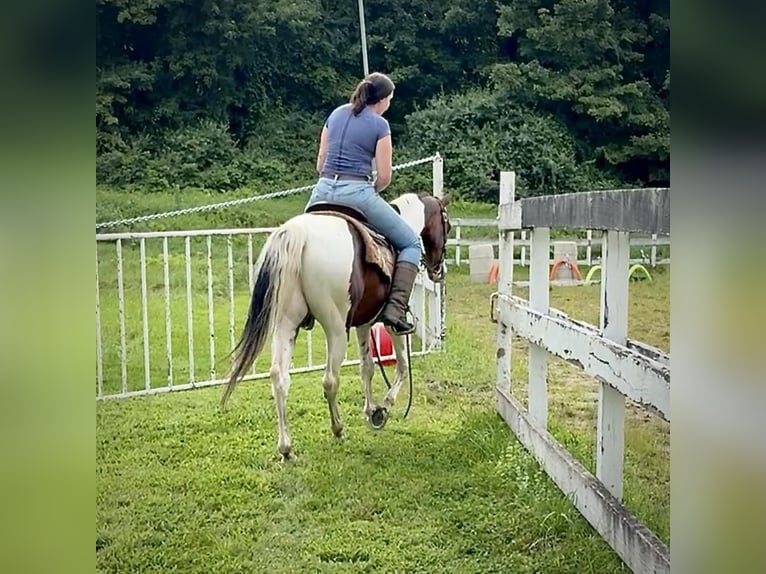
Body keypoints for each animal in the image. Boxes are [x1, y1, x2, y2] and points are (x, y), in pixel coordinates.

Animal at [220, 191, 450, 462]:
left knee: (279, 378)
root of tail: (297, 233)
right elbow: (402, 365)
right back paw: (338, 429)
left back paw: (286, 449)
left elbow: (367, 367)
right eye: (446, 225)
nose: (440, 270)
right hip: (336, 328)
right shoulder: (394, 322)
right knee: (330, 379)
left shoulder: (364, 323)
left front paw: (370, 409)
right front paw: (383, 408)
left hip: (285, 324)